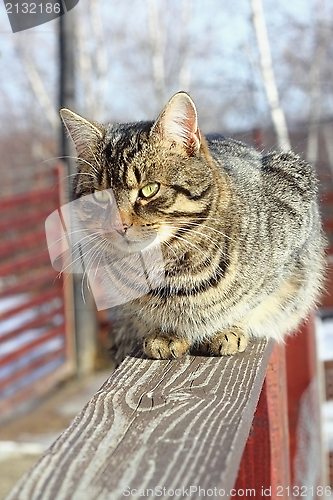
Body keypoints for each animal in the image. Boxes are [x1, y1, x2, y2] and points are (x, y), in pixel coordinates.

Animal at [59, 92, 324, 362]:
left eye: (149, 189)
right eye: (100, 196)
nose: (118, 226)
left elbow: (253, 300)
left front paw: (229, 328)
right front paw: (165, 333)